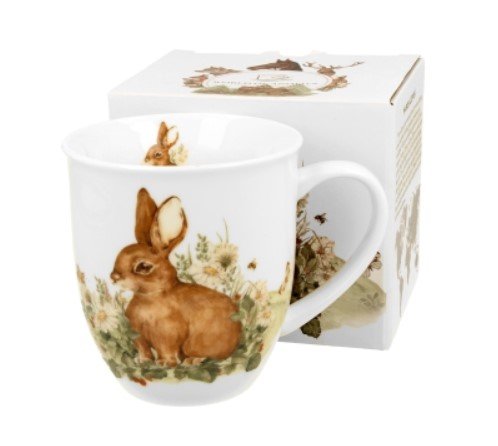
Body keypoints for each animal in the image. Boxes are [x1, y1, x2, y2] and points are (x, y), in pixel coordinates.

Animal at [110, 188, 242, 367]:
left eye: (143, 267)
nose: (113, 277)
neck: (152, 295)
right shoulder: (139, 336)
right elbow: (144, 349)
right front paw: (143, 361)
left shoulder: (167, 334)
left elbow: (166, 349)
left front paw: (165, 363)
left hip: (198, 344)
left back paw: (192, 360)